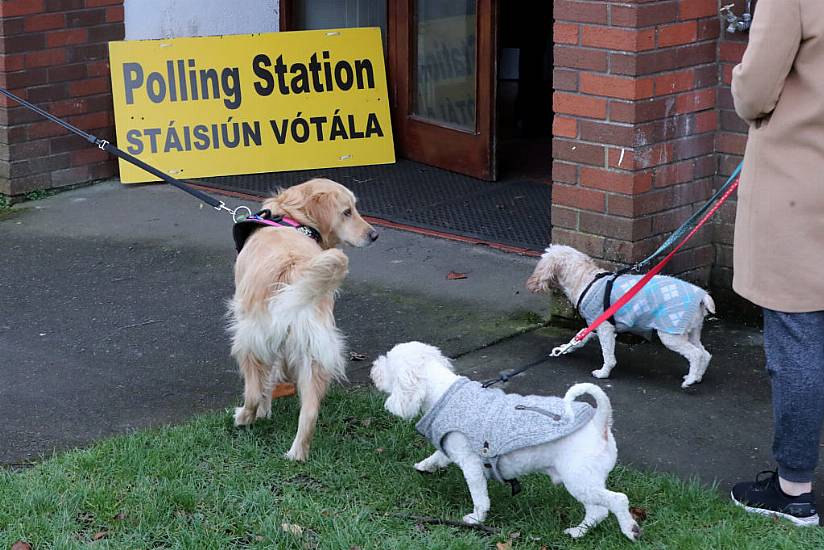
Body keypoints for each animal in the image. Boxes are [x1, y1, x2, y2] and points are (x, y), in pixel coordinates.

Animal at [229, 180, 376, 462]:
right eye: (347, 211)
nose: (374, 235)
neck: (293, 219)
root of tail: (293, 269)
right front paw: (267, 411)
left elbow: (263, 385)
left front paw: (260, 412)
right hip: (314, 353)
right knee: (309, 412)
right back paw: (297, 454)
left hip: (248, 338)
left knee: (252, 391)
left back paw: (243, 417)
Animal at [370, 342, 640, 540]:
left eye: (389, 364)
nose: (373, 369)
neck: (442, 391)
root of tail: (600, 423)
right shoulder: (452, 448)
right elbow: (438, 455)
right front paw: (425, 465)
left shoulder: (470, 463)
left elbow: (479, 495)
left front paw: (476, 518)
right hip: (585, 480)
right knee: (598, 511)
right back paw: (578, 532)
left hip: (579, 479)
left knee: (615, 501)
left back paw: (629, 530)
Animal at [528, 244, 716, 390]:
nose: (530, 283)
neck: (586, 281)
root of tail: (702, 296)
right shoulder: (594, 323)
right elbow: (580, 336)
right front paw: (565, 348)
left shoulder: (604, 328)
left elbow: (608, 354)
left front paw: (603, 373)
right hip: (692, 330)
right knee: (704, 353)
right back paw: (697, 377)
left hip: (671, 333)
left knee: (696, 354)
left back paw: (690, 380)